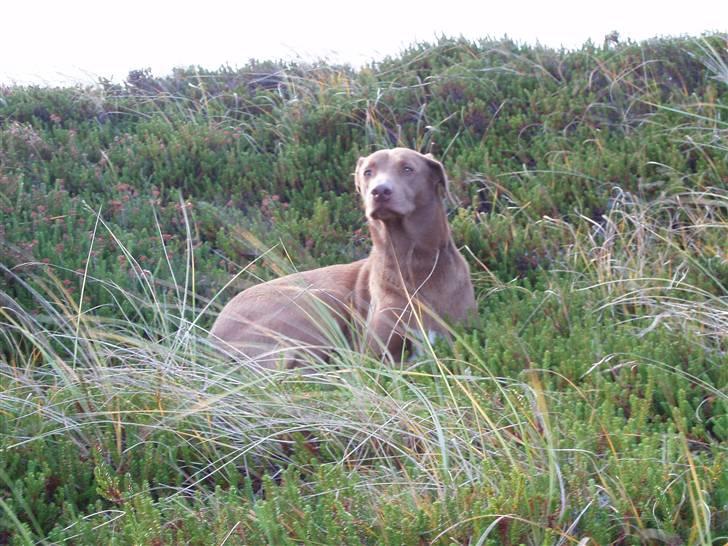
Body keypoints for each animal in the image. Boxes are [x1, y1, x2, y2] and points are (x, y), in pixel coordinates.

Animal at [208, 148, 474, 366]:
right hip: (318, 302)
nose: (380, 191)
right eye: (368, 172)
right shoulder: (374, 352)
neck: (413, 264)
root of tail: (213, 336)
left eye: (408, 169)